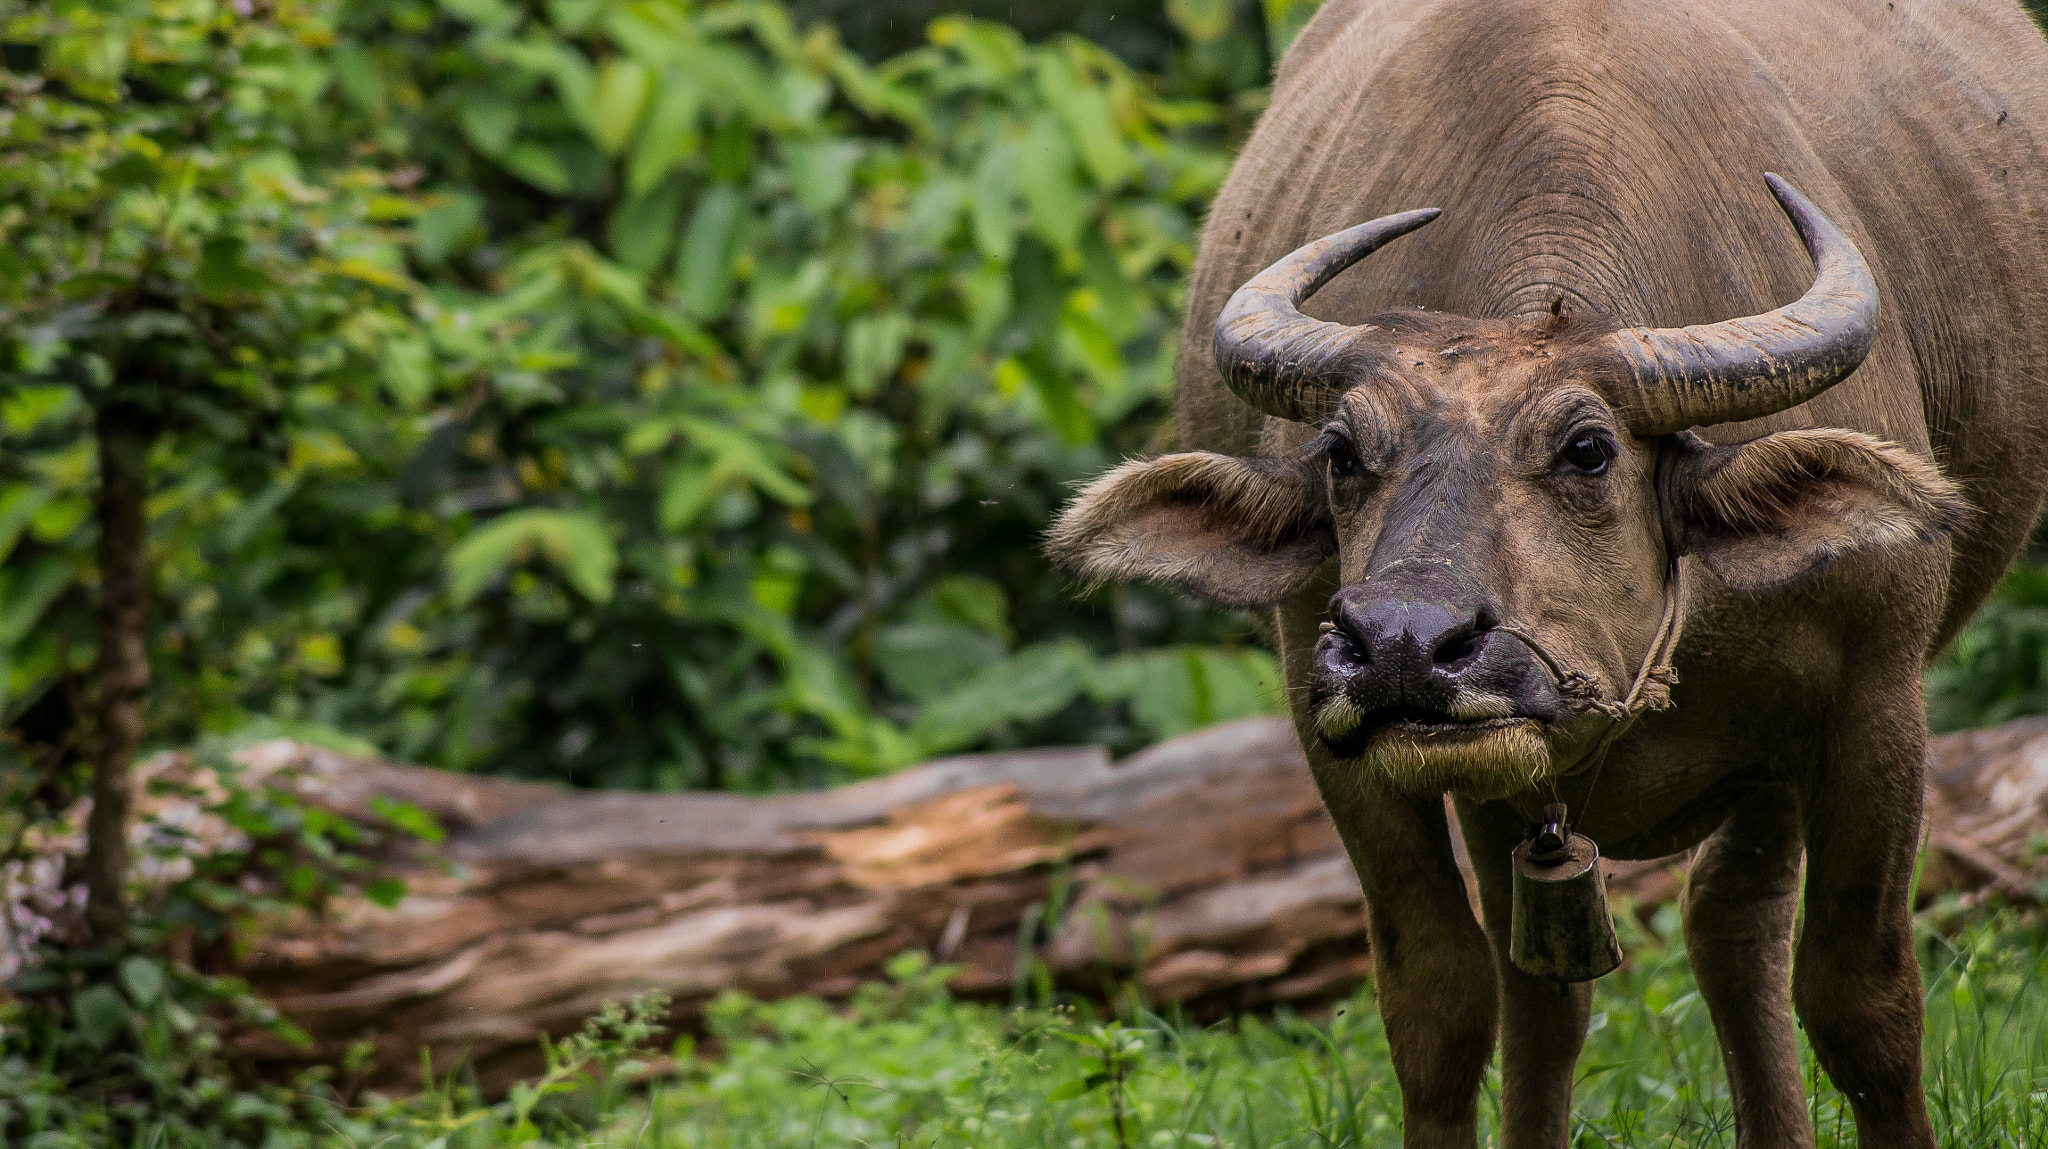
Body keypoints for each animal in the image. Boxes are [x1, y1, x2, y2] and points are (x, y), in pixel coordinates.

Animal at [1046, 0, 2048, 1145]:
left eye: (1587, 449)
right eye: (1341, 451)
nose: (1400, 647)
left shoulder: (1873, 698)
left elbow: (1861, 1002)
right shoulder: (1334, 717)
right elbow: (1442, 999)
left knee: (1728, 925)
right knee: (1571, 985)